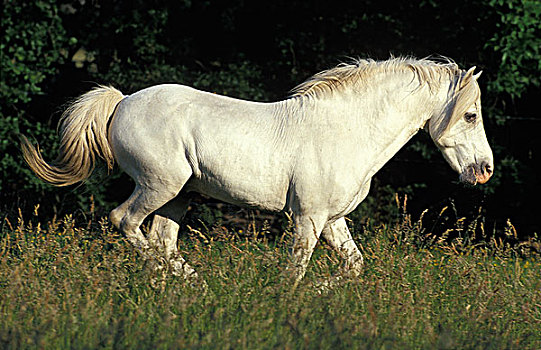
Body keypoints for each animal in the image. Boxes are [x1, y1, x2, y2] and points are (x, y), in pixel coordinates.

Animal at [23, 57, 492, 284]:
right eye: (470, 115)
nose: (484, 170)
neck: (346, 129)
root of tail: (121, 102)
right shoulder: (307, 218)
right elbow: (296, 269)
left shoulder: (334, 220)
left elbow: (353, 267)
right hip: (160, 185)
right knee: (124, 221)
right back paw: (181, 280)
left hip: (178, 197)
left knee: (162, 242)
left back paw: (191, 287)